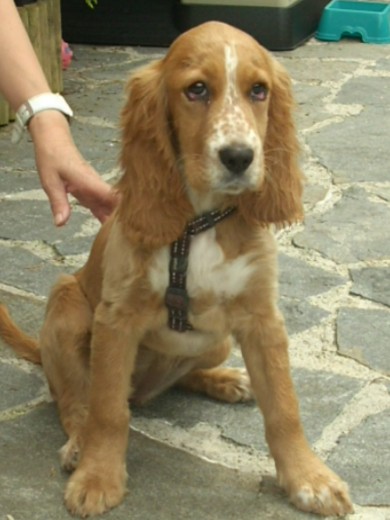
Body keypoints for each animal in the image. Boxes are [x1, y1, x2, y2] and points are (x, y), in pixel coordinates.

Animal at [0, 19, 354, 516]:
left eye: (259, 91)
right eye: (197, 89)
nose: (239, 157)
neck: (199, 222)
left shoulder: (262, 319)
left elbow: (284, 406)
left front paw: (309, 478)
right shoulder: (116, 320)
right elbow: (108, 410)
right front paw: (97, 476)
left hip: (217, 341)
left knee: (179, 377)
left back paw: (225, 380)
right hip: (67, 305)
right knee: (75, 401)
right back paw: (79, 443)